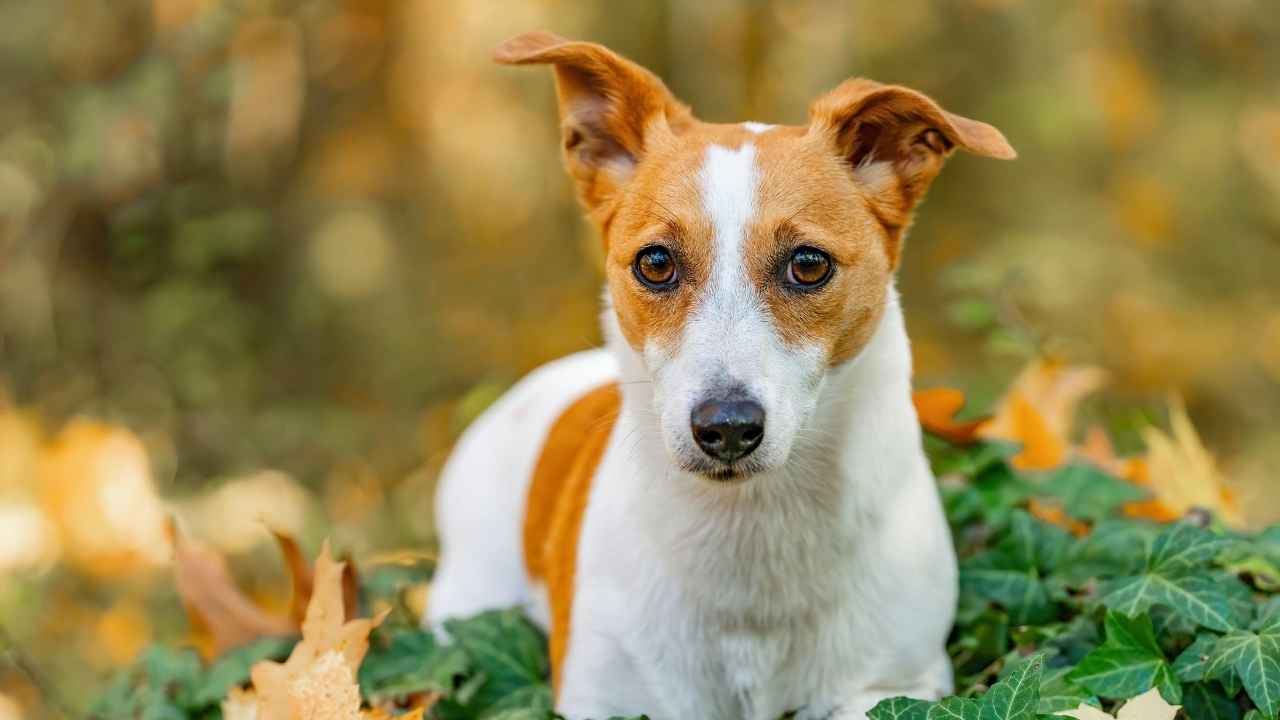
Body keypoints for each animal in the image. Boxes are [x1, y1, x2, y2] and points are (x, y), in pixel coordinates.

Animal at [424, 29, 1013, 717]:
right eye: (655, 263)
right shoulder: (606, 696)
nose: (727, 426)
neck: (750, 529)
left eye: (809, 264)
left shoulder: (895, 684)